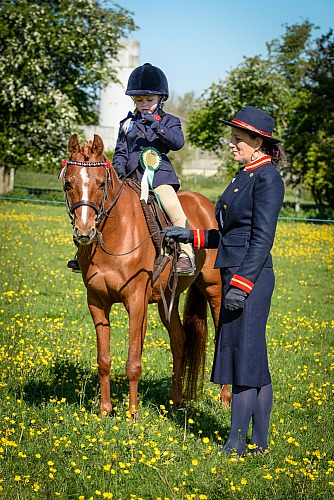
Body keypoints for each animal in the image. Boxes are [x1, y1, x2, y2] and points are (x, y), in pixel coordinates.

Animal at [61, 134, 231, 418]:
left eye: (101, 183)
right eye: (68, 183)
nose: (84, 232)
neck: (117, 232)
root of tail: (205, 204)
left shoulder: (136, 301)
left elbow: (133, 361)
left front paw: (133, 415)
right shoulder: (96, 302)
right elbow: (104, 359)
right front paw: (105, 411)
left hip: (214, 289)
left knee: (221, 338)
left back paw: (226, 399)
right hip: (167, 300)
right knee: (179, 340)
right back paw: (175, 400)